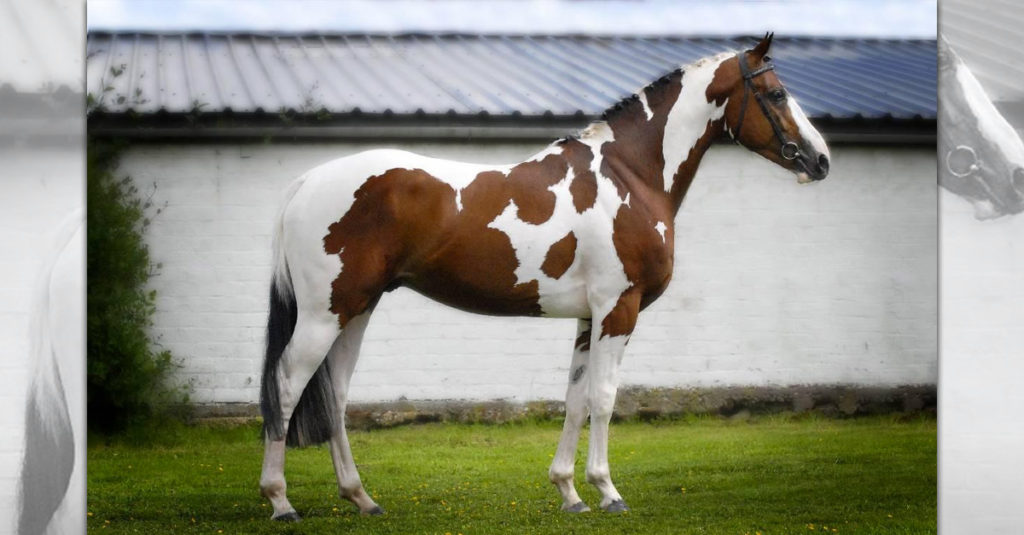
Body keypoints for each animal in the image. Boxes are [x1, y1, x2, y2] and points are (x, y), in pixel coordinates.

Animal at [258, 33, 830, 520]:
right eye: (776, 94)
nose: (820, 160)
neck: (629, 174)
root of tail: (307, 181)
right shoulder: (617, 310)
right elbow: (604, 399)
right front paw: (608, 492)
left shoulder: (588, 318)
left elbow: (575, 400)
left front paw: (570, 492)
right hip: (325, 314)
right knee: (286, 385)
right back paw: (281, 501)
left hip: (356, 310)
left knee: (334, 395)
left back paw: (362, 498)